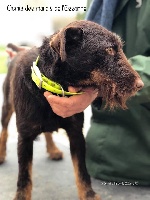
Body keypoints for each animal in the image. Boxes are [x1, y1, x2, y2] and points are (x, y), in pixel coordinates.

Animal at [0, 20, 144, 200]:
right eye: (109, 49)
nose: (140, 85)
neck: (54, 84)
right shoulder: (24, 137)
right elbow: (24, 176)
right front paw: (21, 196)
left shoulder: (76, 134)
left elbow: (81, 170)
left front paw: (88, 194)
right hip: (7, 107)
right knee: (5, 130)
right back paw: (2, 153)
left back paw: (53, 149)